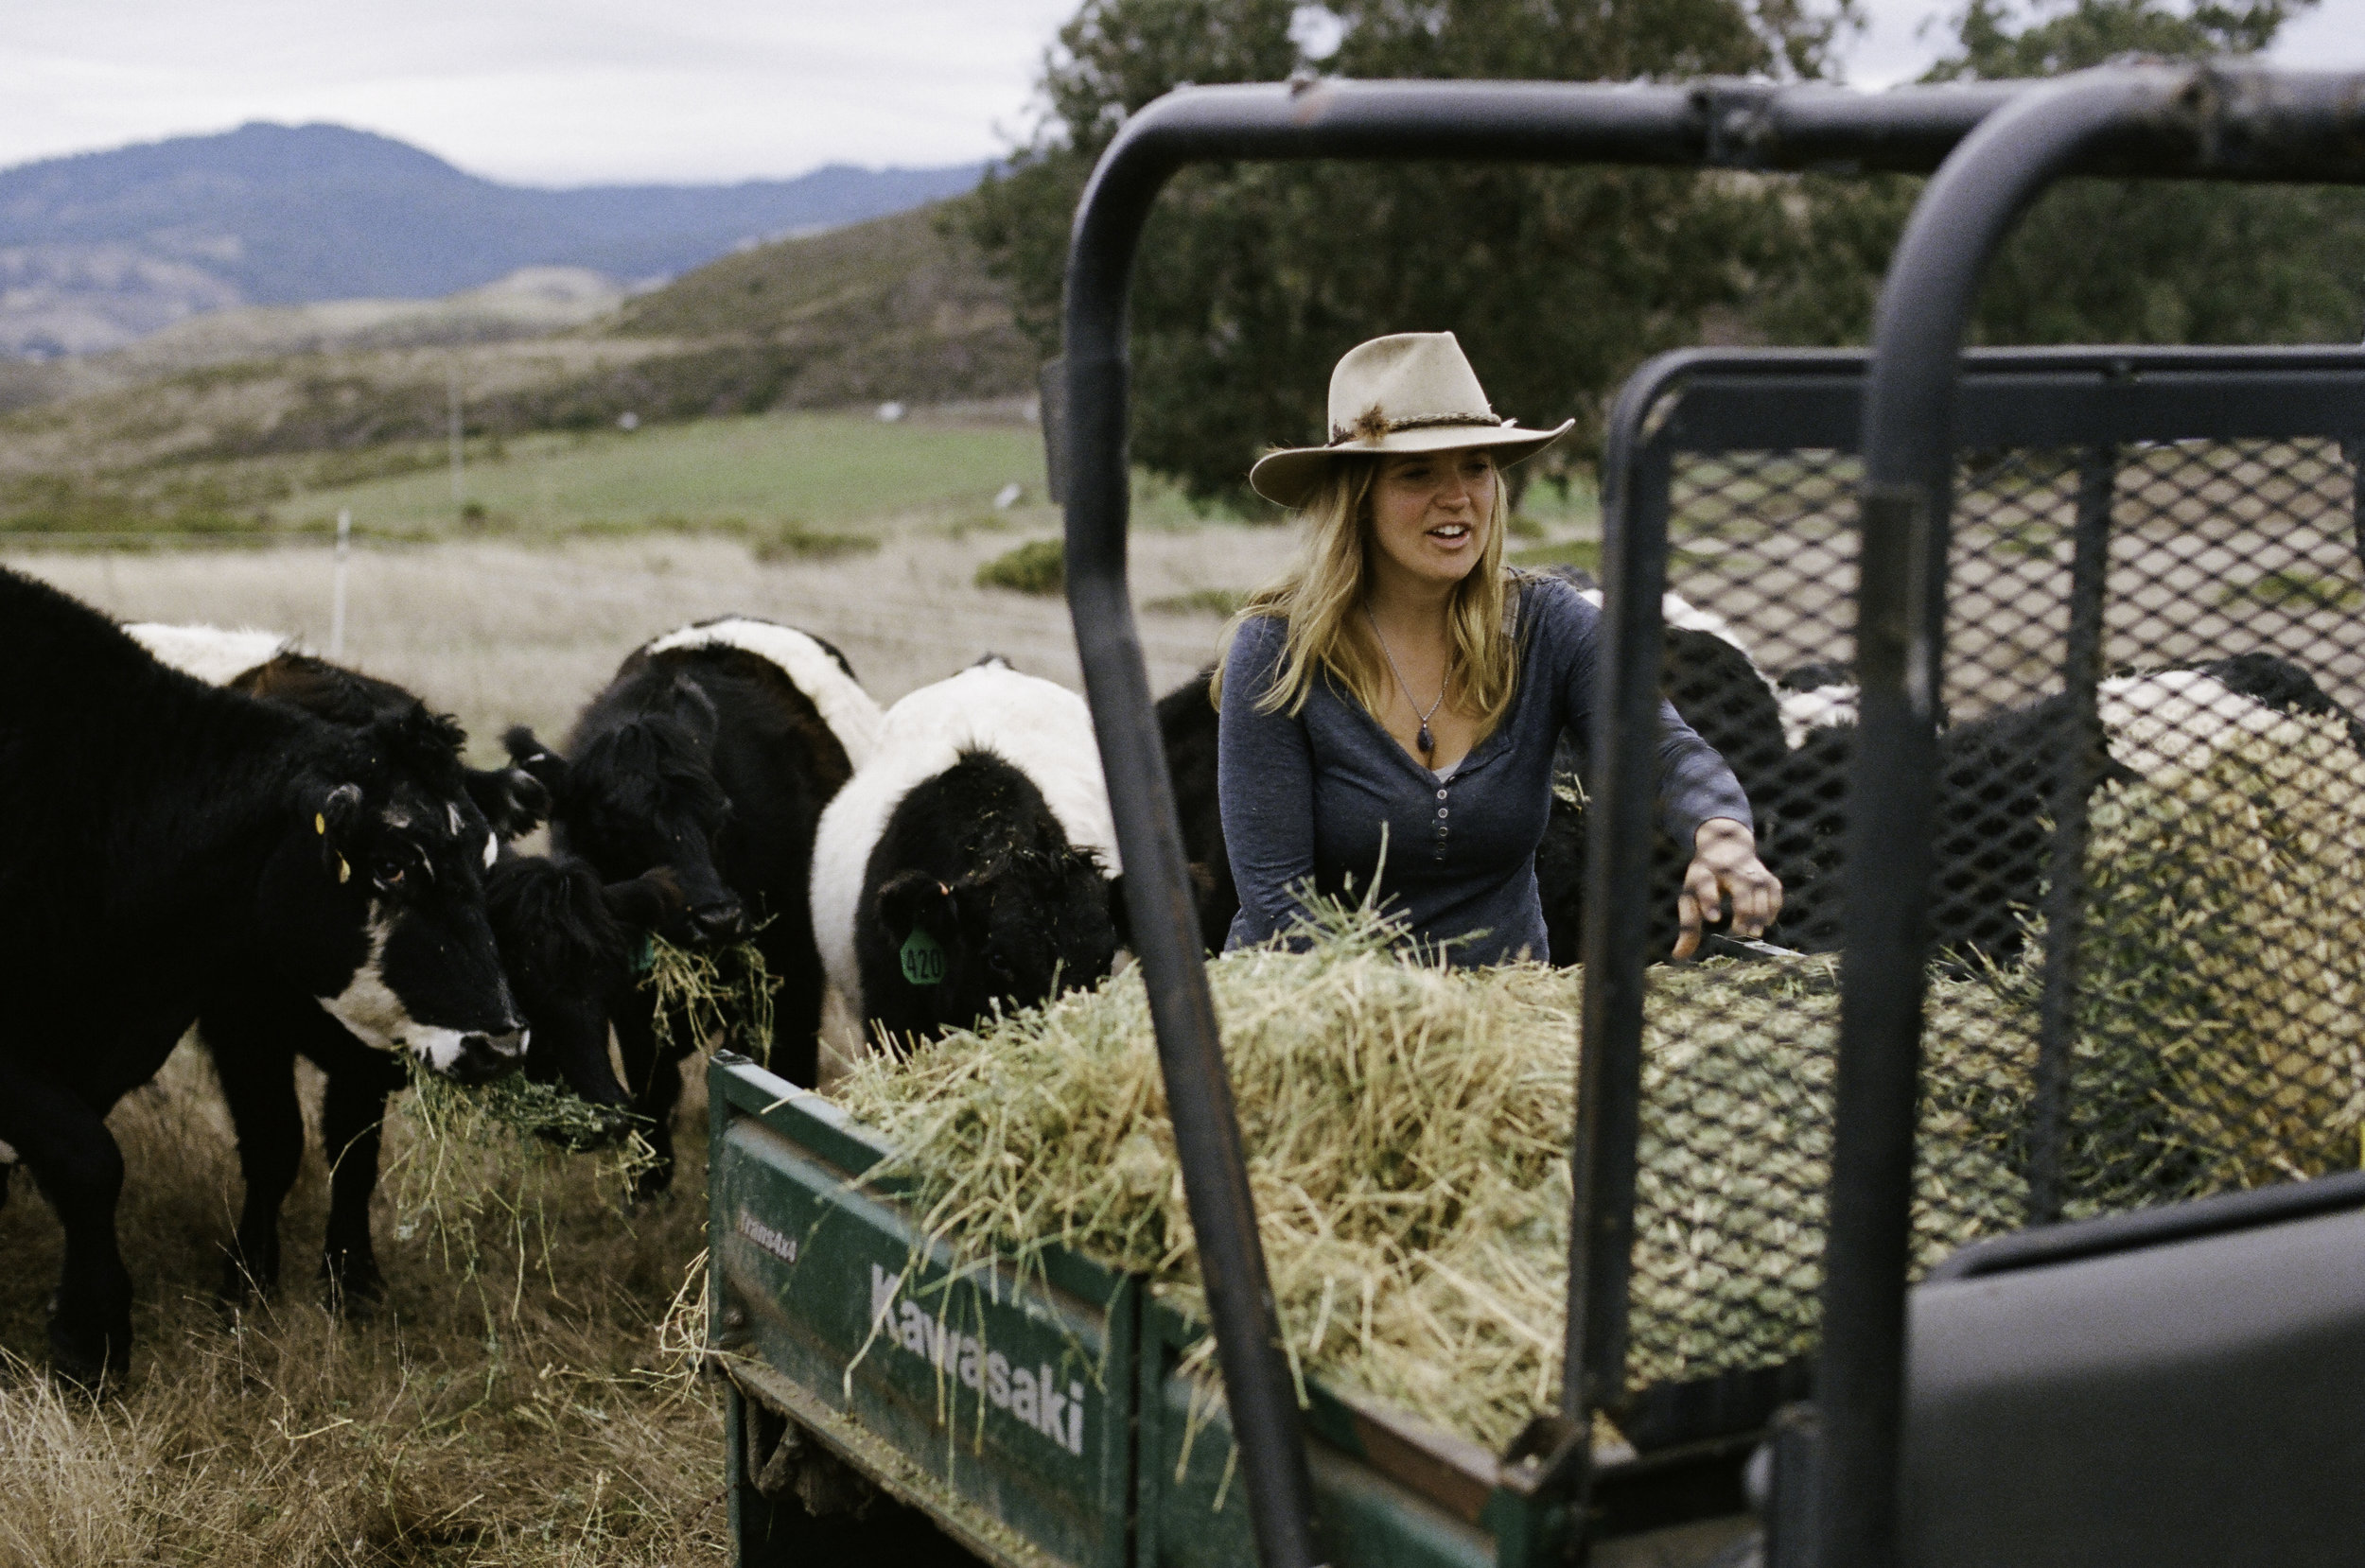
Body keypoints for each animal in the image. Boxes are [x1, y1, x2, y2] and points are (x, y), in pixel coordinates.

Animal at [0, 569, 522, 1381]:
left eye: (487, 860)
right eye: (391, 864)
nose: (499, 1042)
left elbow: (353, 1155)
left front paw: (351, 1283)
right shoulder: (239, 1024)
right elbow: (124, 1158)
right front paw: (124, 1327)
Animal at [513, 615, 885, 1192]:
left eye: (722, 812)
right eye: (613, 826)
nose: (719, 919)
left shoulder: (790, 977)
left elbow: (776, 1079)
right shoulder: (629, 998)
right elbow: (651, 1085)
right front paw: (648, 1180)